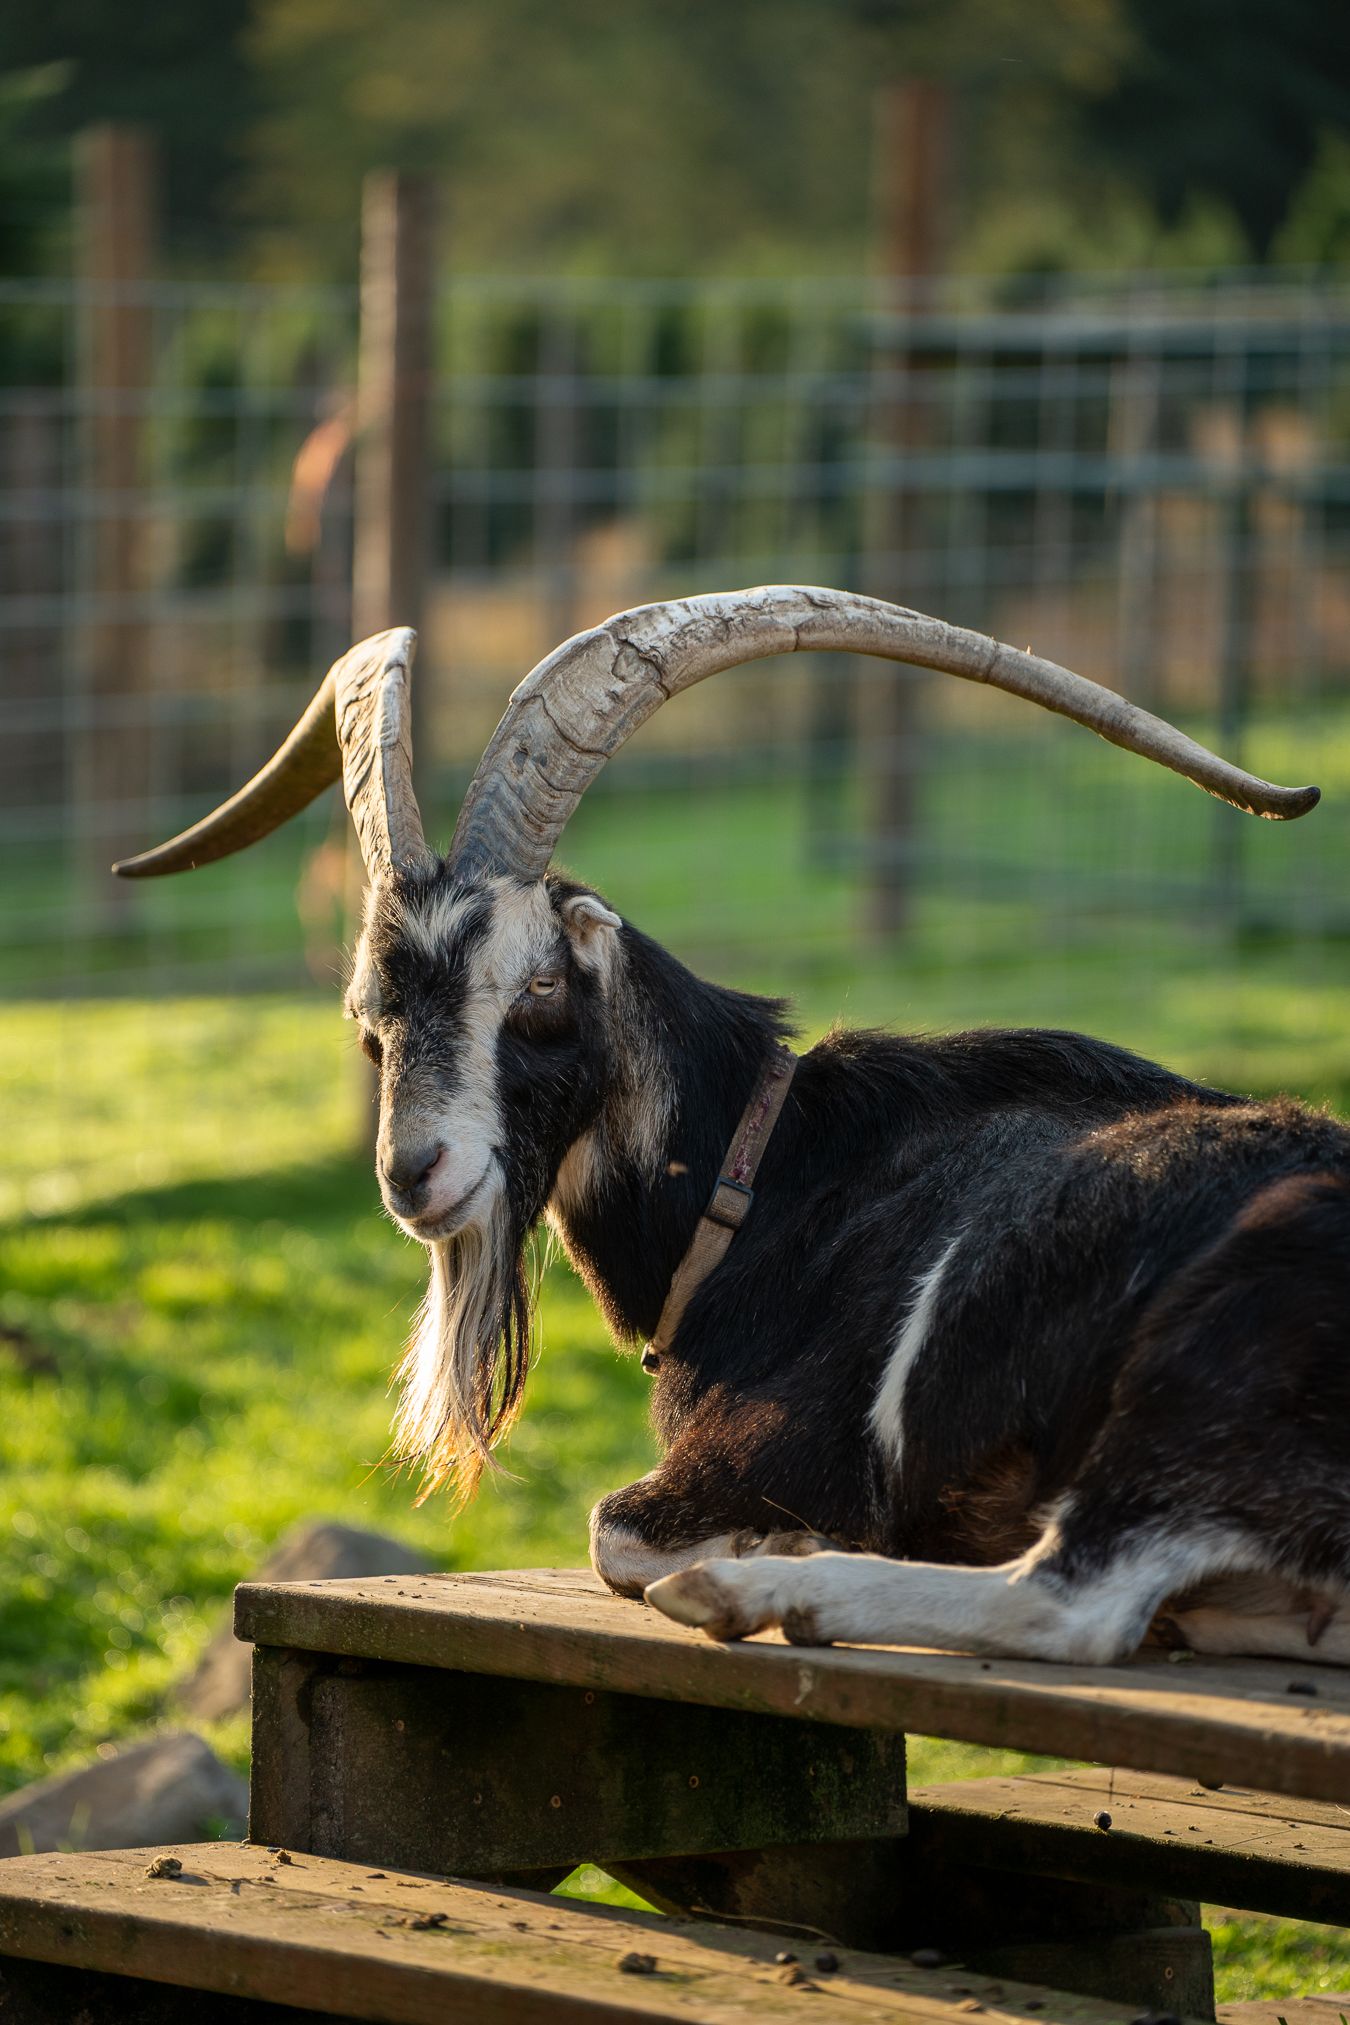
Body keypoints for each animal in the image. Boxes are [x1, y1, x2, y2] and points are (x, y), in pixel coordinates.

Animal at [116, 586, 1350, 1669]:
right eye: (371, 1020)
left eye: (539, 988)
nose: (414, 1173)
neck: (769, 1175)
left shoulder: (784, 1440)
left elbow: (614, 1528)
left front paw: (776, 1537)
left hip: (1205, 1365)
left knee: (1071, 1600)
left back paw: (755, 1589)